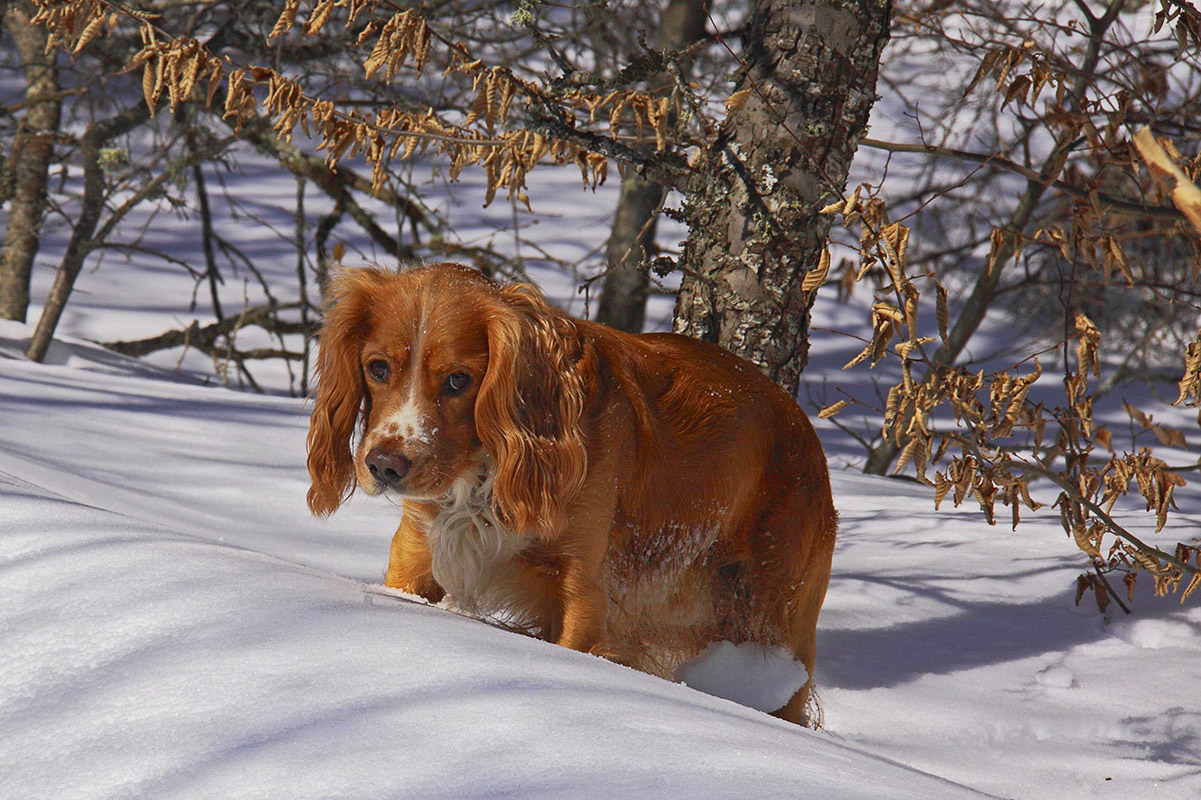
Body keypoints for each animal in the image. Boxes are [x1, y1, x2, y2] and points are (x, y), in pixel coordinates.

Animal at [307, 261, 835, 720]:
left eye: (458, 380)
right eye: (377, 368)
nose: (385, 466)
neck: (486, 476)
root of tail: (804, 428)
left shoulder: (583, 592)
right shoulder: (415, 555)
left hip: (776, 621)